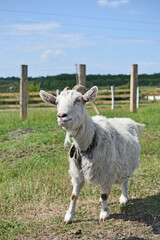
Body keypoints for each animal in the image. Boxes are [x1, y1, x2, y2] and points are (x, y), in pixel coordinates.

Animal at [39, 86, 144, 223]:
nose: (61, 116)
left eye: (78, 100)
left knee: (125, 181)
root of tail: (130, 121)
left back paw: (123, 198)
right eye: (57, 102)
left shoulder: (107, 172)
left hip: (127, 164)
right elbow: (74, 196)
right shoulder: (77, 174)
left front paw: (104, 213)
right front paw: (69, 217)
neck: (89, 141)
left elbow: (104, 195)